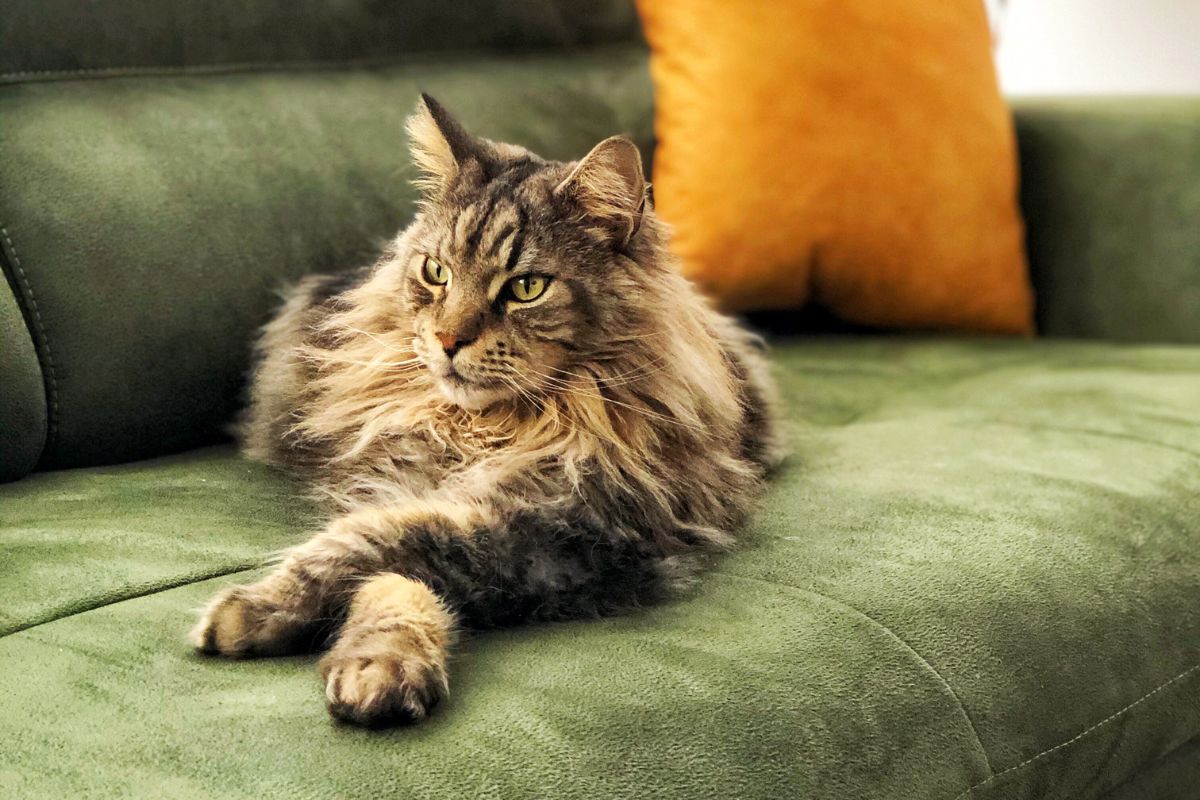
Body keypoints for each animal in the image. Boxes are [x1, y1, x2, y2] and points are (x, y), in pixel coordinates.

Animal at [192, 94, 782, 724]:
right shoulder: (392, 481)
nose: (449, 340)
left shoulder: (580, 530)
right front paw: (363, 659)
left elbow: (391, 544)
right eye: (436, 273)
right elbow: (387, 569)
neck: (488, 429)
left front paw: (299, 632)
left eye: (526, 288)